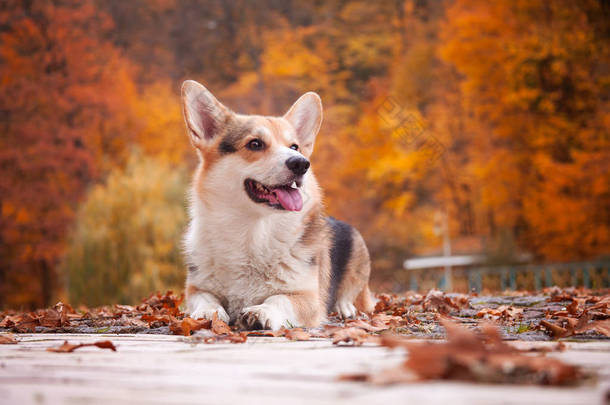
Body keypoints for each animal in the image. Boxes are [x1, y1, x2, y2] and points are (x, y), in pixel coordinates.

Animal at [180, 79, 370, 328]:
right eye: (255, 144)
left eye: (294, 147)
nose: (302, 164)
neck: (252, 231)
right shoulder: (196, 288)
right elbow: (205, 299)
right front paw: (208, 312)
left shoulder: (308, 299)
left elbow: (279, 298)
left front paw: (262, 312)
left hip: (358, 255)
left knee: (352, 294)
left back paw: (345, 308)